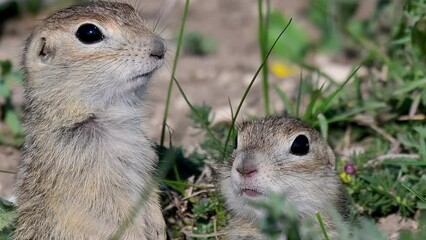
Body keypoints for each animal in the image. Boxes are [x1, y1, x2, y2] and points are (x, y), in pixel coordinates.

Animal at [13, 1, 166, 238]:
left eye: (130, 8)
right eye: (89, 33)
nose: (160, 47)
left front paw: (160, 228)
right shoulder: (85, 176)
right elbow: (109, 215)